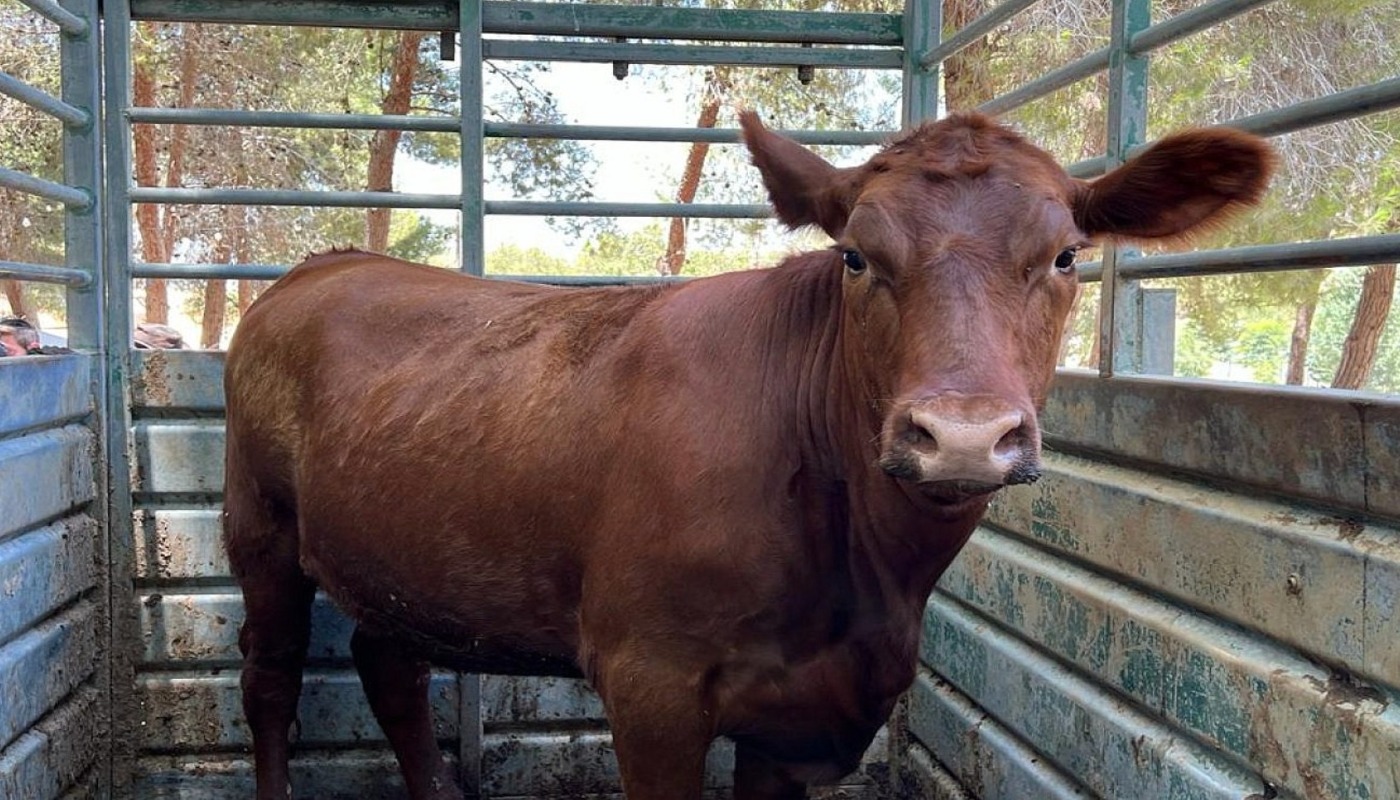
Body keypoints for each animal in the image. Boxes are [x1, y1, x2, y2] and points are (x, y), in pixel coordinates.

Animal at [223, 110, 1273, 800]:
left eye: (1064, 256)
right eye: (855, 256)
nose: (963, 433)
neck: (863, 581)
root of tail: (332, 261)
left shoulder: (798, 714)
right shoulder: (650, 681)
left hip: (397, 554)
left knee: (388, 668)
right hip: (259, 526)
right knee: (270, 681)